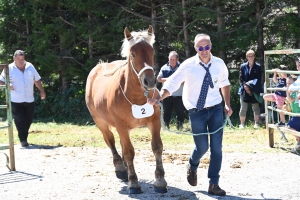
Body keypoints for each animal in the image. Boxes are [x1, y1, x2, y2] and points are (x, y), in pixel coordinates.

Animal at [85, 25, 168, 194]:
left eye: (152, 52)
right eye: (133, 53)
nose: (149, 81)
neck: (136, 96)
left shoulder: (154, 121)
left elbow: (157, 147)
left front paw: (160, 180)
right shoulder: (121, 126)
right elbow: (129, 153)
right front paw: (134, 182)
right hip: (100, 122)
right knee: (110, 141)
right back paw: (120, 168)